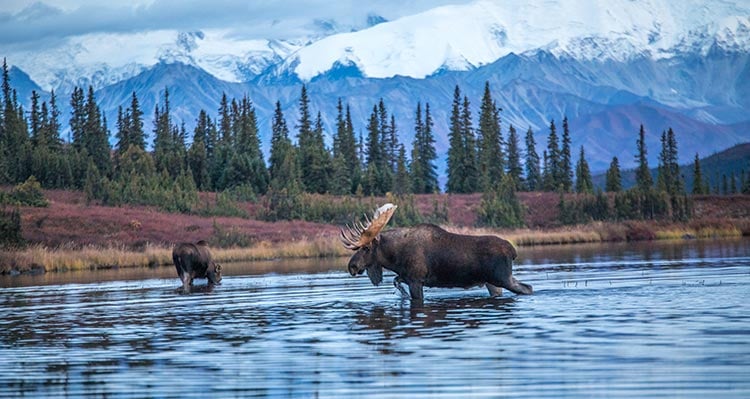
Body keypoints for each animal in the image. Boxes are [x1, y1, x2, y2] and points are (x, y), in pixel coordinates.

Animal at [340, 203, 536, 304]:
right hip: (492, 282)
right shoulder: (407, 276)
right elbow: (396, 281)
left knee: (528, 288)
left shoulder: (416, 279)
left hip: (502, 277)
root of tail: (513, 251)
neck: (394, 257)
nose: (352, 266)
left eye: (366, 248)